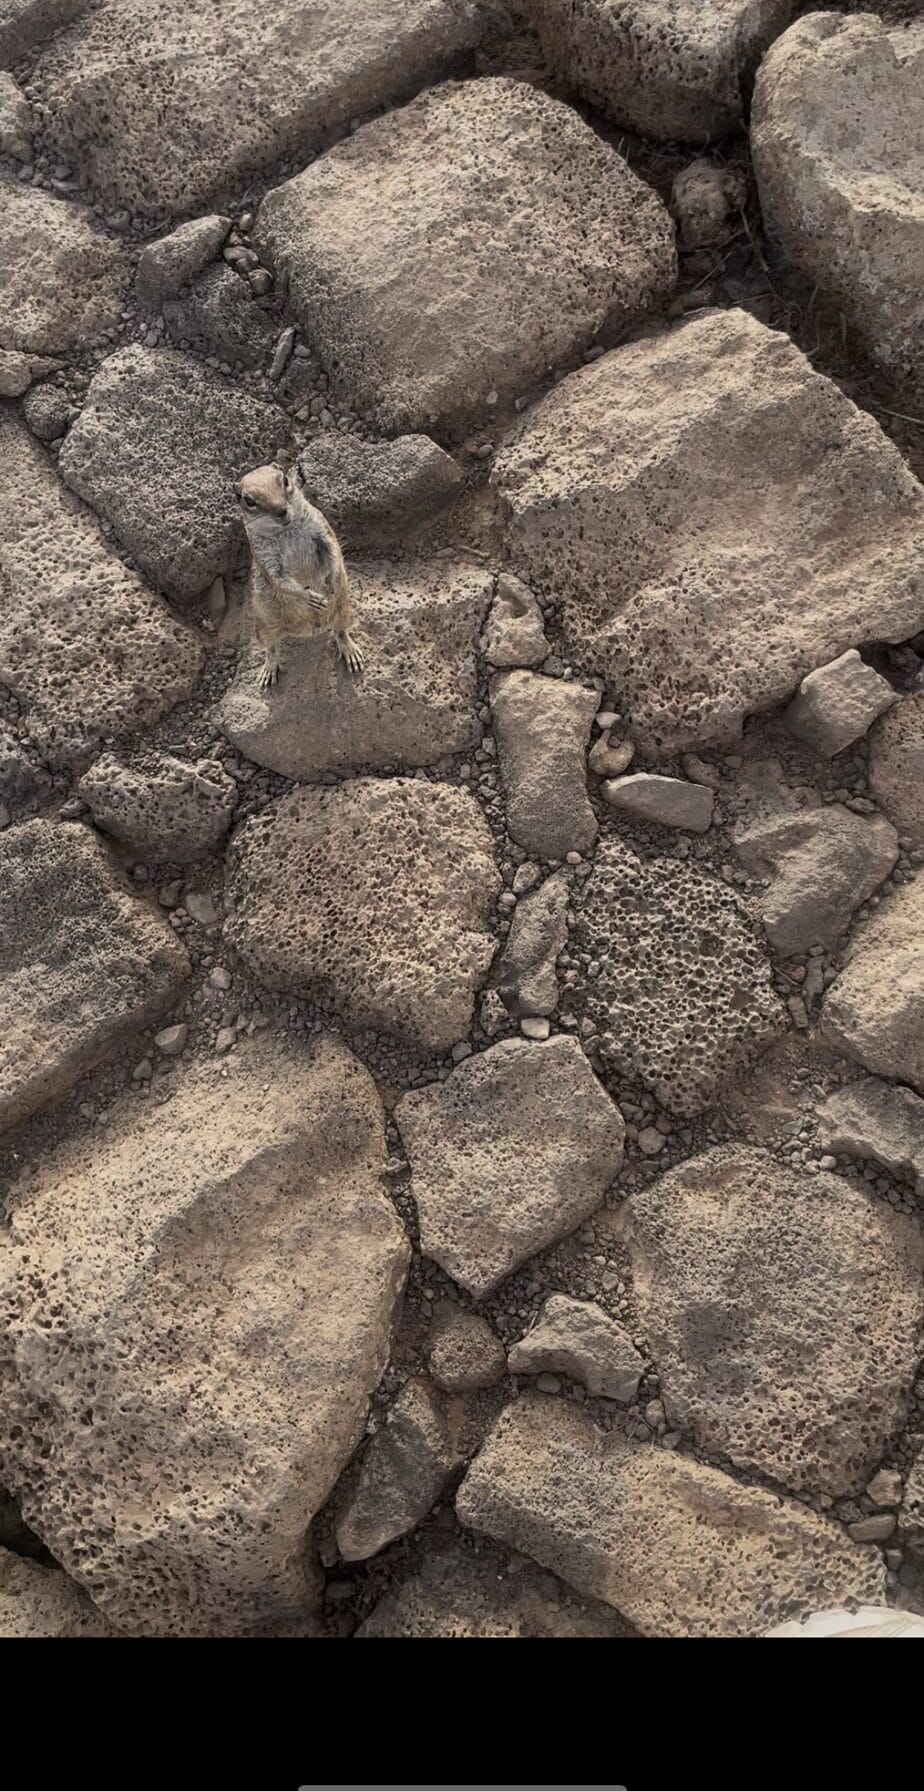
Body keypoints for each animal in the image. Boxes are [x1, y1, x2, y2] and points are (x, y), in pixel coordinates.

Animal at [238, 463, 364, 689]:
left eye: (285, 480)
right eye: (249, 501)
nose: (281, 511)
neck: (287, 530)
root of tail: (311, 631)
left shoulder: (322, 529)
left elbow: (334, 551)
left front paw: (331, 582)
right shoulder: (266, 558)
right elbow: (280, 581)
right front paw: (310, 597)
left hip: (344, 609)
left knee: (340, 631)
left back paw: (350, 651)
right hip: (264, 625)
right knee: (271, 648)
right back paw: (268, 671)